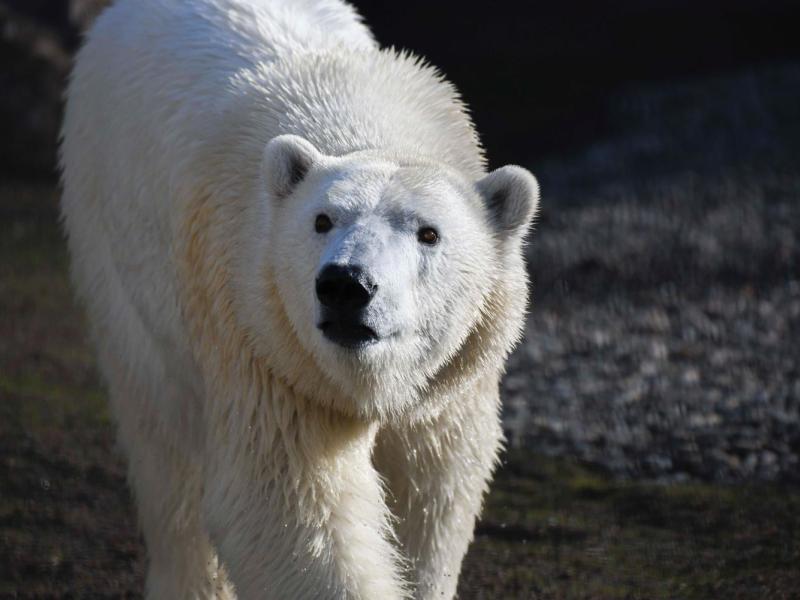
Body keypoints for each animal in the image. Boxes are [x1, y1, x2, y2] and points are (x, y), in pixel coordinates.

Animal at [61, 1, 536, 600]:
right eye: (322, 219)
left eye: (428, 233)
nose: (346, 285)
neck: (362, 118)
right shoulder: (267, 346)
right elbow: (290, 507)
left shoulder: (450, 383)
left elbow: (432, 488)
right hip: (117, 255)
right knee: (166, 453)